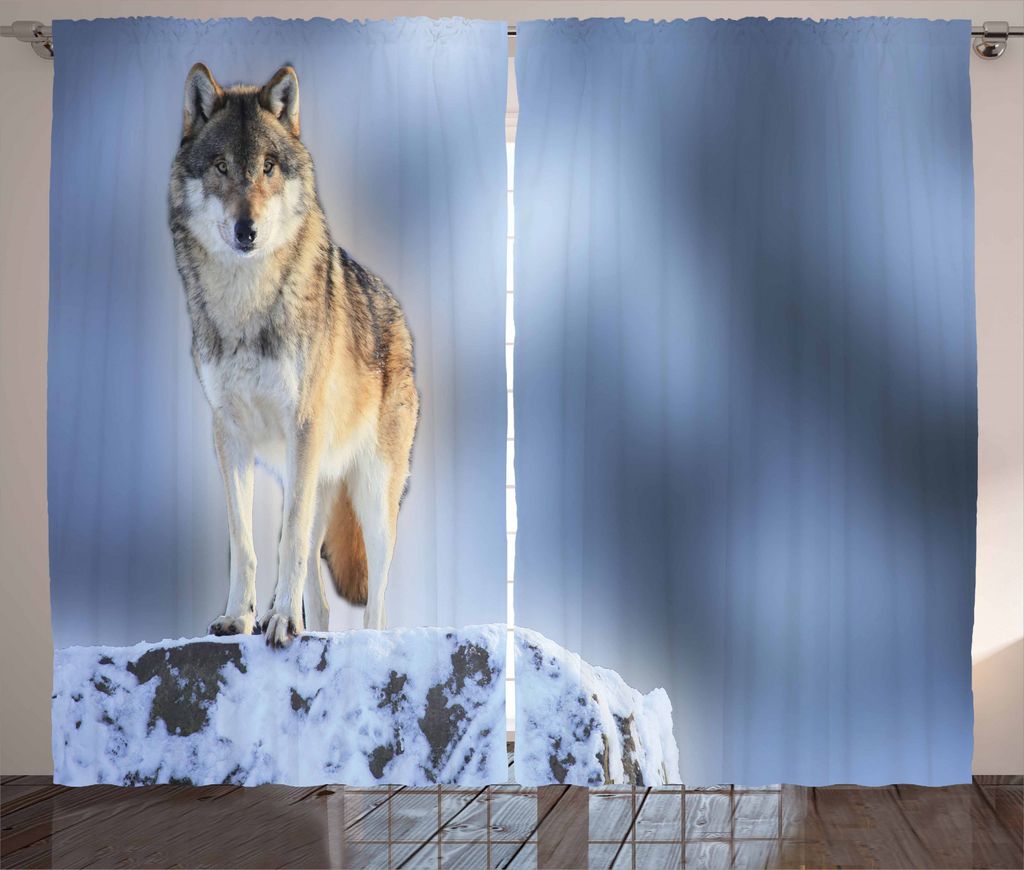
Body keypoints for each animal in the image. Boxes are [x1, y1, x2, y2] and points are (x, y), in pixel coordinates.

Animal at [169, 64, 419, 645]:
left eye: (268, 167)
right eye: (221, 166)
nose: (248, 230)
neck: (246, 305)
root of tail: (398, 312)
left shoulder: (301, 426)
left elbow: (290, 543)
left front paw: (280, 619)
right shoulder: (228, 433)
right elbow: (245, 543)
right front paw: (239, 618)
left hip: (372, 493)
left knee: (376, 598)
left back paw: (361, 639)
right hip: (305, 476)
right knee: (322, 600)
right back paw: (312, 631)